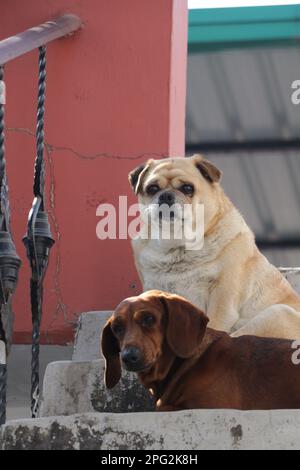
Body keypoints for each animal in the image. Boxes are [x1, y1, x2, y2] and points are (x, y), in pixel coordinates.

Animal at [129, 154, 300, 338]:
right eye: (152, 189)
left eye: (187, 188)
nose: (166, 196)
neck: (177, 245)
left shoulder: (222, 299)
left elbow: (213, 325)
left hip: (277, 314)